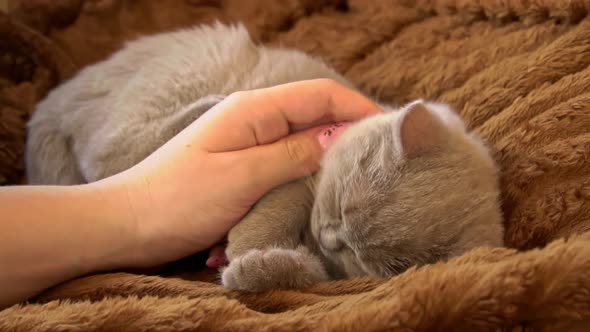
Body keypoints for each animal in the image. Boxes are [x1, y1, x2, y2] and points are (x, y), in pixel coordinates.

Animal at [24, 22, 504, 290]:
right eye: (342, 204)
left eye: (364, 257)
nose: (330, 237)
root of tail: (59, 97)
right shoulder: (295, 166)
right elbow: (283, 198)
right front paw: (244, 247)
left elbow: (309, 274)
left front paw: (249, 267)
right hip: (184, 73)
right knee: (105, 152)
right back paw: (208, 107)